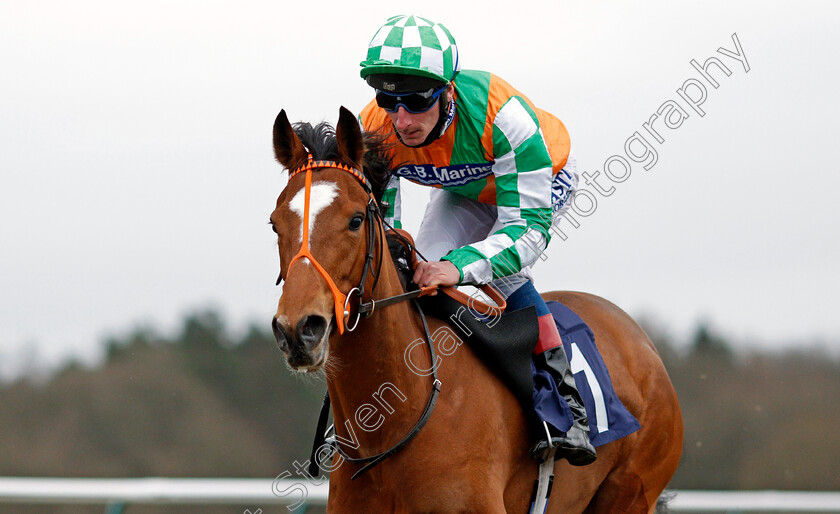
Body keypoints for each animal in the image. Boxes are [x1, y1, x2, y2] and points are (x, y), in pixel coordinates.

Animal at [270, 106, 684, 510]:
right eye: (275, 224)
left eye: (355, 220)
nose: (298, 330)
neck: (395, 417)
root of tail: (641, 341)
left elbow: (525, 225)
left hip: (631, 489)